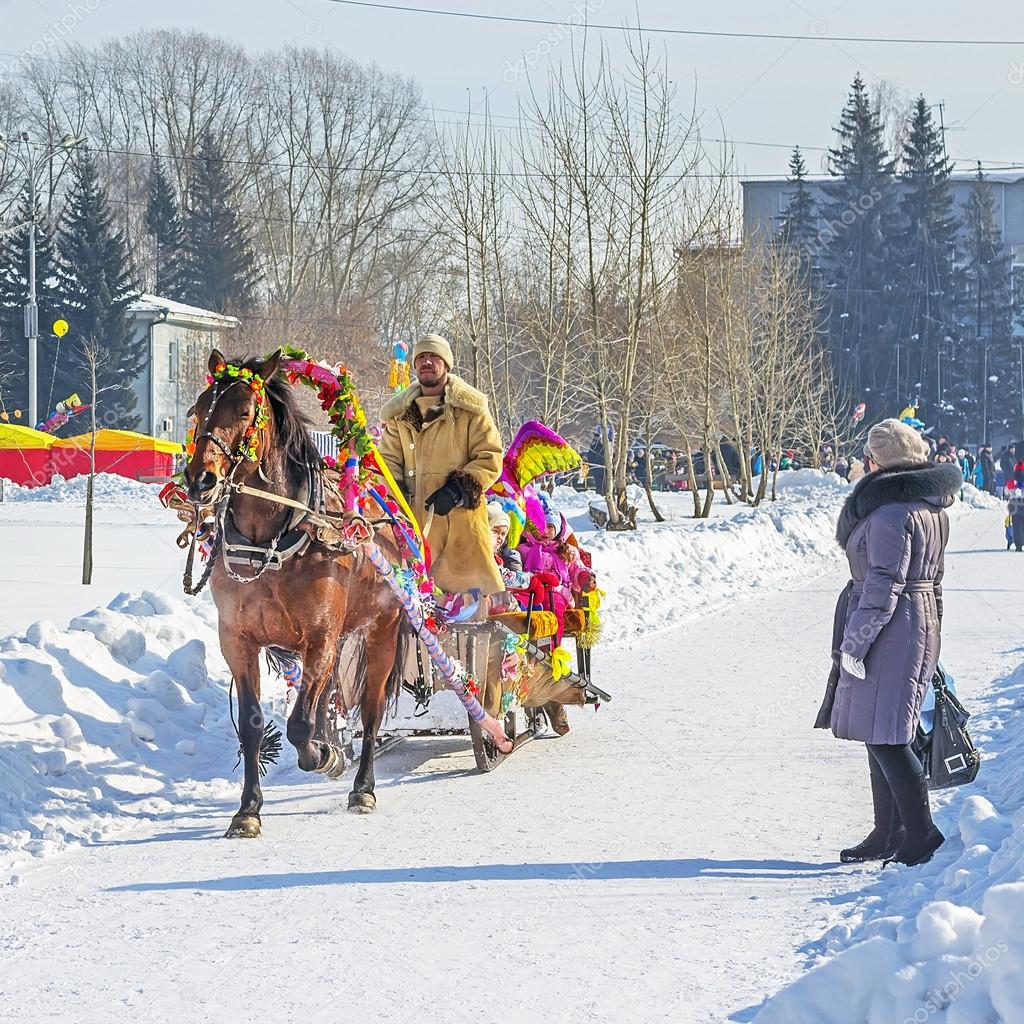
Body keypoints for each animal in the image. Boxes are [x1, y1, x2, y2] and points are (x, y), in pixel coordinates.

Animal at [184, 348, 407, 835]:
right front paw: (248, 810)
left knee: (371, 708)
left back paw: (362, 786)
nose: (199, 480)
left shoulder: (320, 635)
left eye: (244, 411)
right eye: (199, 407)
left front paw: (323, 756)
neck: (270, 539)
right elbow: (252, 726)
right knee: (327, 696)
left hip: (382, 628)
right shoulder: (238, 640)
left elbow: (300, 723)